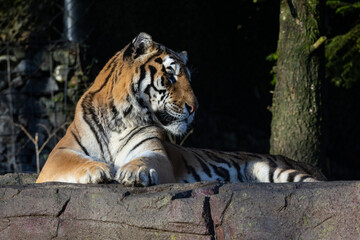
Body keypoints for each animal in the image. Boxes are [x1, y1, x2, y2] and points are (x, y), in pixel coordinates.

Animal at [35, 32, 324, 186]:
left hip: (275, 170)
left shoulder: (155, 152)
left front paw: (135, 172)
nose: (194, 107)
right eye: (171, 75)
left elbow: (144, 160)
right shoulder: (58, 154)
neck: (121, 118)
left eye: (189, 78)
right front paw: (98, 170)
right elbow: (76, 161)